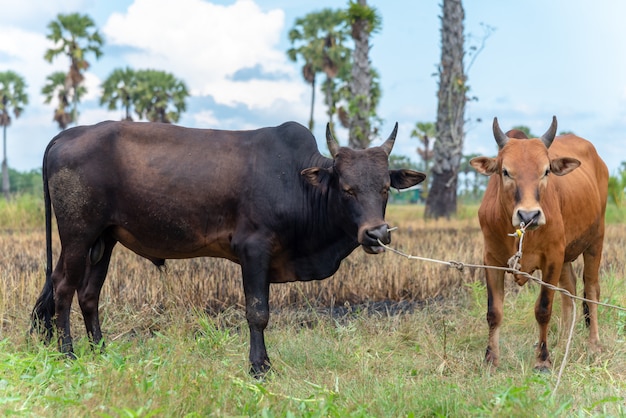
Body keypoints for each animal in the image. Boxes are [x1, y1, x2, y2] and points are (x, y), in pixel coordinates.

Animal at [30, 120, 424, 376]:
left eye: (385, 188)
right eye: (347, 188)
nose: (376, 233)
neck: (298, 182)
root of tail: (67, 134)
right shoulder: (254, 250)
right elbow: (257, 313)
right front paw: (260, 367)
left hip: (105, 239)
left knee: (89, 294)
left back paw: (100, 351)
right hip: (78, 236)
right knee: (63, 288)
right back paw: (68, 354)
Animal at [470, 116, 608, 370]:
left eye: (546, 171)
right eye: (505, 171)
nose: (528, 215)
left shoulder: (552, 258)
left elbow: (544, 309)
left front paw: (542, 360)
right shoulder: (491, 260)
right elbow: (494, 312)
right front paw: (490, 359)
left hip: (596, 241)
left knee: (591, 290)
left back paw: (593, 344)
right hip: (566, 254)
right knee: (569, 290)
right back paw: (563, 341)